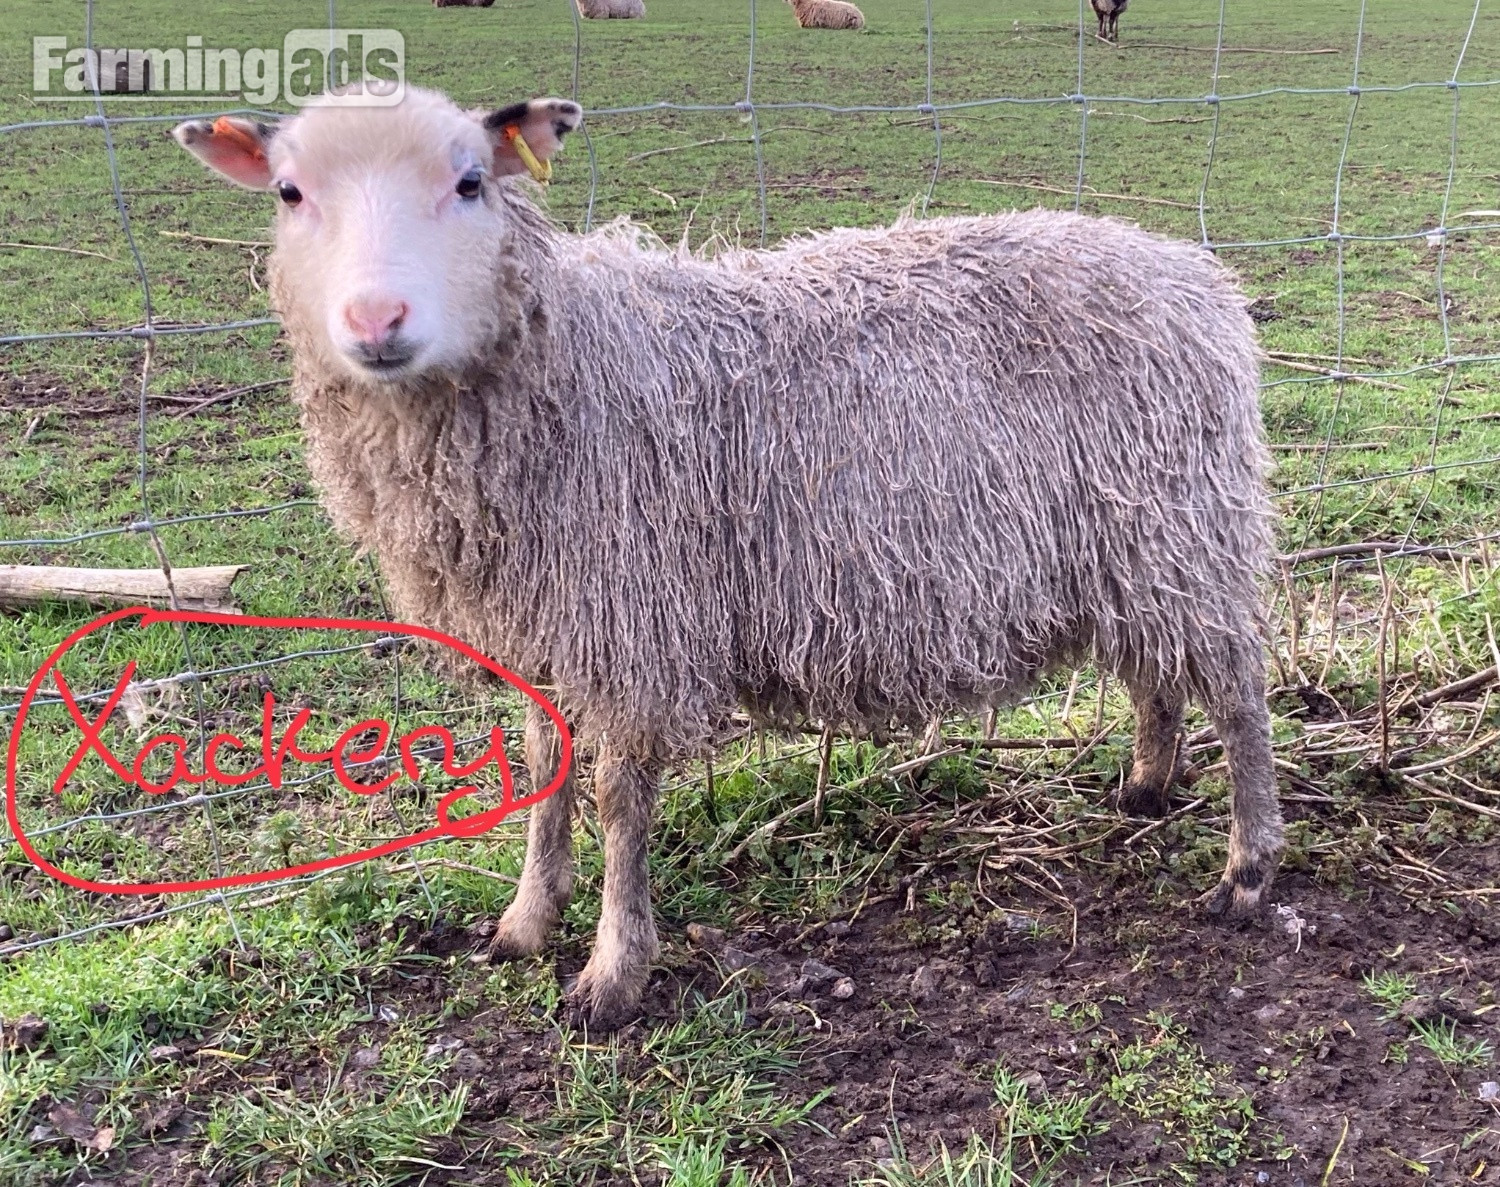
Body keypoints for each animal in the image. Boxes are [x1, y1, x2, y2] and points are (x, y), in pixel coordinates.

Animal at [172, 87, 1282, 1031]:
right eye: (290, 192)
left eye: (471, 181)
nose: (377, 321)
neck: (562, 367)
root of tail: (1193, 275)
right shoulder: (545, 623)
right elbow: (542, 766)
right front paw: (526, 922)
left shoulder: (634, 620)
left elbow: (621, 799)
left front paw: (612, 973)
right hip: (1132, 545)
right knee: (1154, 672)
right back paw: (1145, 785)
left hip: (1187, 526)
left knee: (1236, 689)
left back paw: (1246, 867)